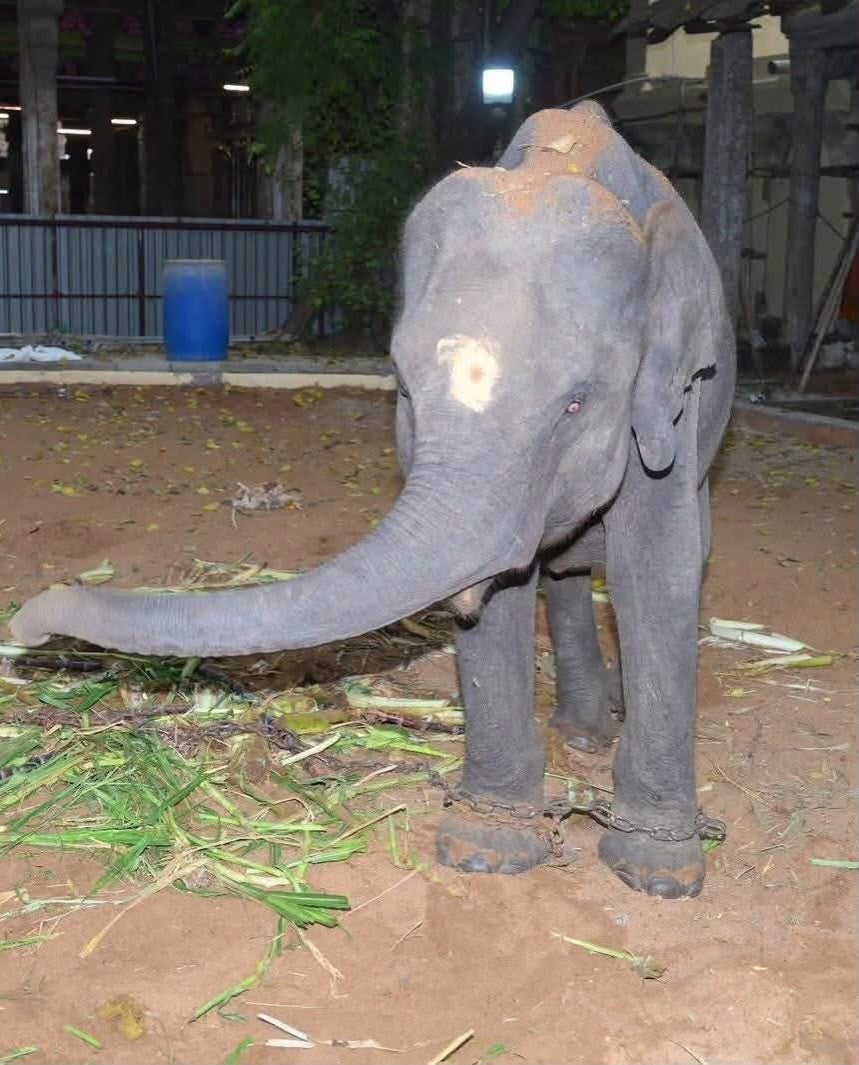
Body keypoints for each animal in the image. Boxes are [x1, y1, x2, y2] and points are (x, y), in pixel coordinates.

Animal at [8, 102, 736, 899]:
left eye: (577, 404)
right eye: (404, 388)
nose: (26, 624)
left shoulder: (675, 409)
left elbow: (655, 573)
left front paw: (658, 874)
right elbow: (503, 596)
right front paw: (484, 851)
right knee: (566, 576)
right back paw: (581, 729)